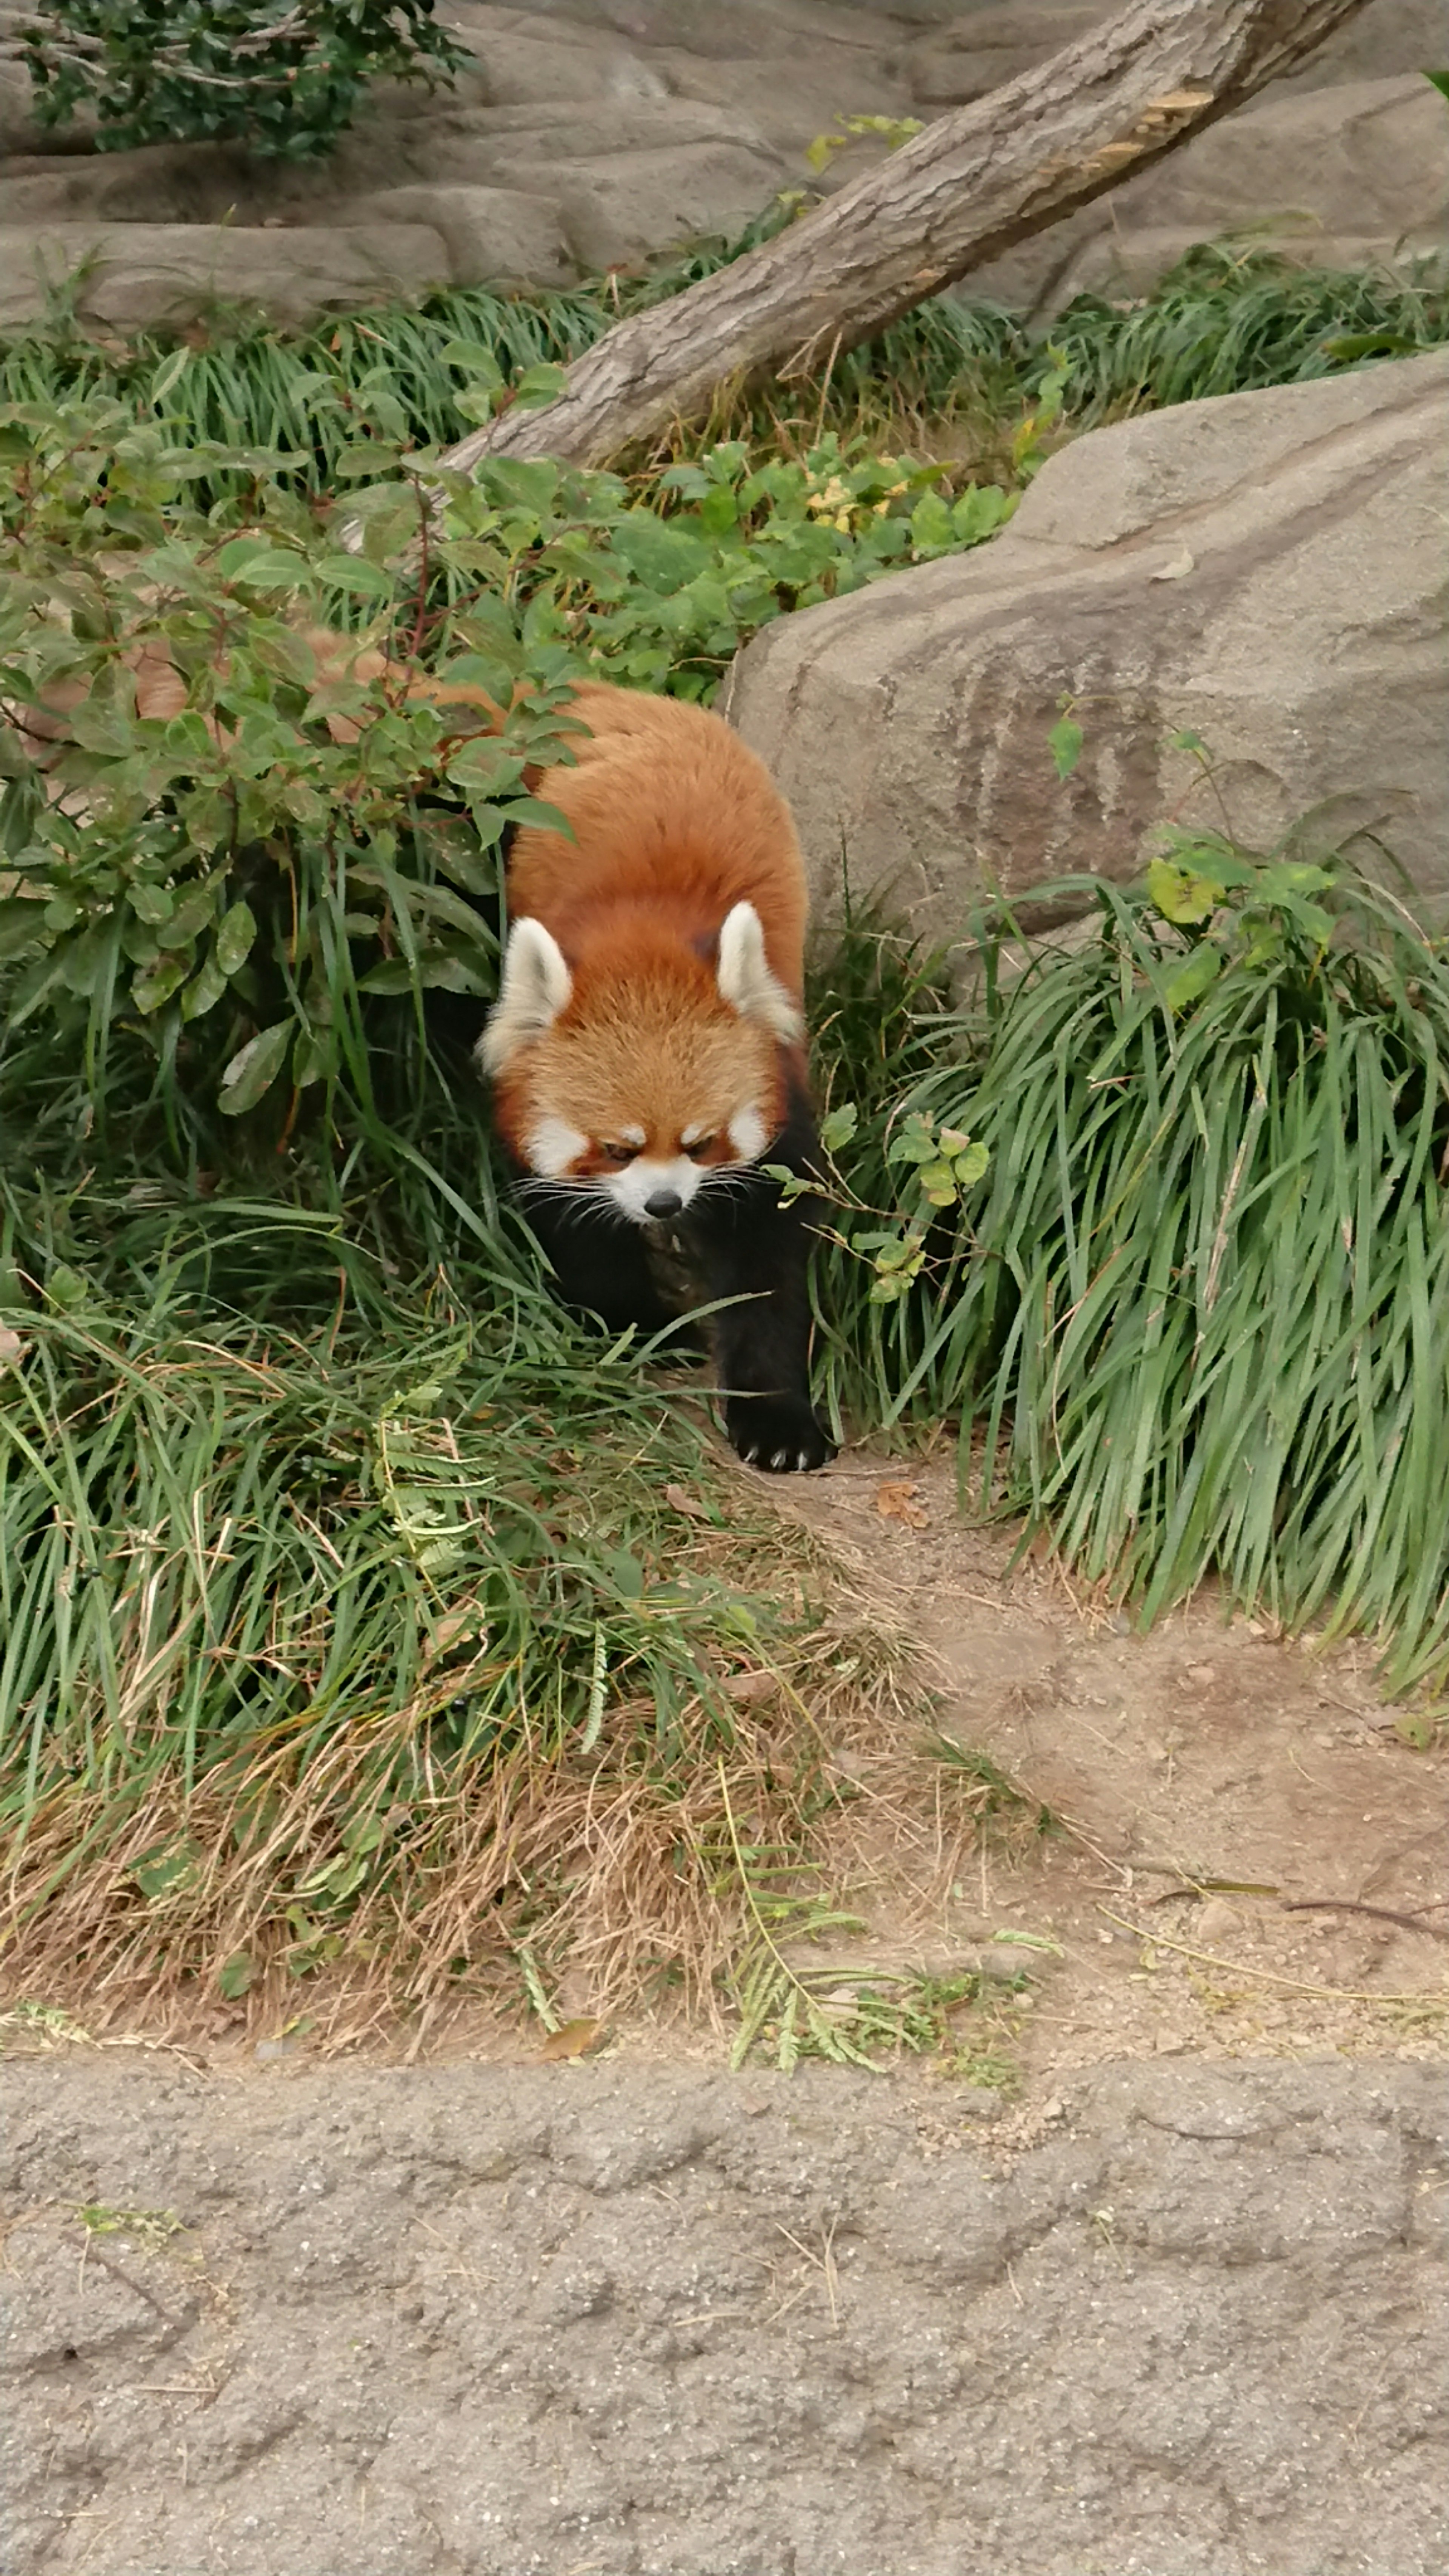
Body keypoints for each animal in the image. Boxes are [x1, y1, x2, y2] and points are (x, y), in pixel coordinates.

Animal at [479, 680, 830, 1473]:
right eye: (617, 1149)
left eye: (701, 1144)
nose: (665, 1204)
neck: (643, 936)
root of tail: (604, 692)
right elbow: (574, 1225)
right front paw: (633, 1322)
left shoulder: (778, 1095)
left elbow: (769, 1266)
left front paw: (778, 1417)